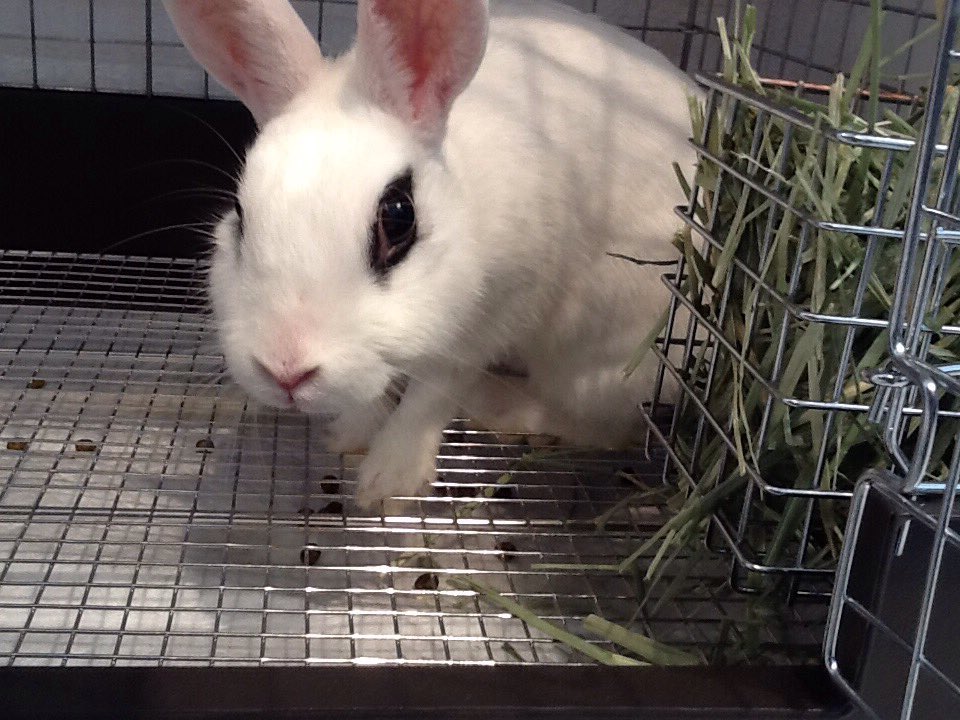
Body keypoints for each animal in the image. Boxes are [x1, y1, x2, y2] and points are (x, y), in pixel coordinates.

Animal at [162, 0, 696, 511]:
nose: (286, 372)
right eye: (240, 213)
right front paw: (350, 435)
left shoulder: (492, 316)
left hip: (606, 353)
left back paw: (500, 405)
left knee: (606, 423)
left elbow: (431, 395)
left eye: (399, 218)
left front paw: (388, 483)